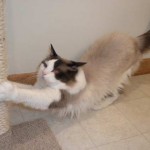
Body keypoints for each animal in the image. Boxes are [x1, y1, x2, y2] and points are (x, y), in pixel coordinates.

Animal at [0, 30, 149, 117]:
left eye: (56, 71)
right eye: (45, 65)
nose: (44, 73)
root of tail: (134, 40)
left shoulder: (54, 97)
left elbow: (25, 93)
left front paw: (5, 91)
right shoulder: (37, 88)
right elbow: (20, 86)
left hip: (115, 80)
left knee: (117, 94)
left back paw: (98, 105)